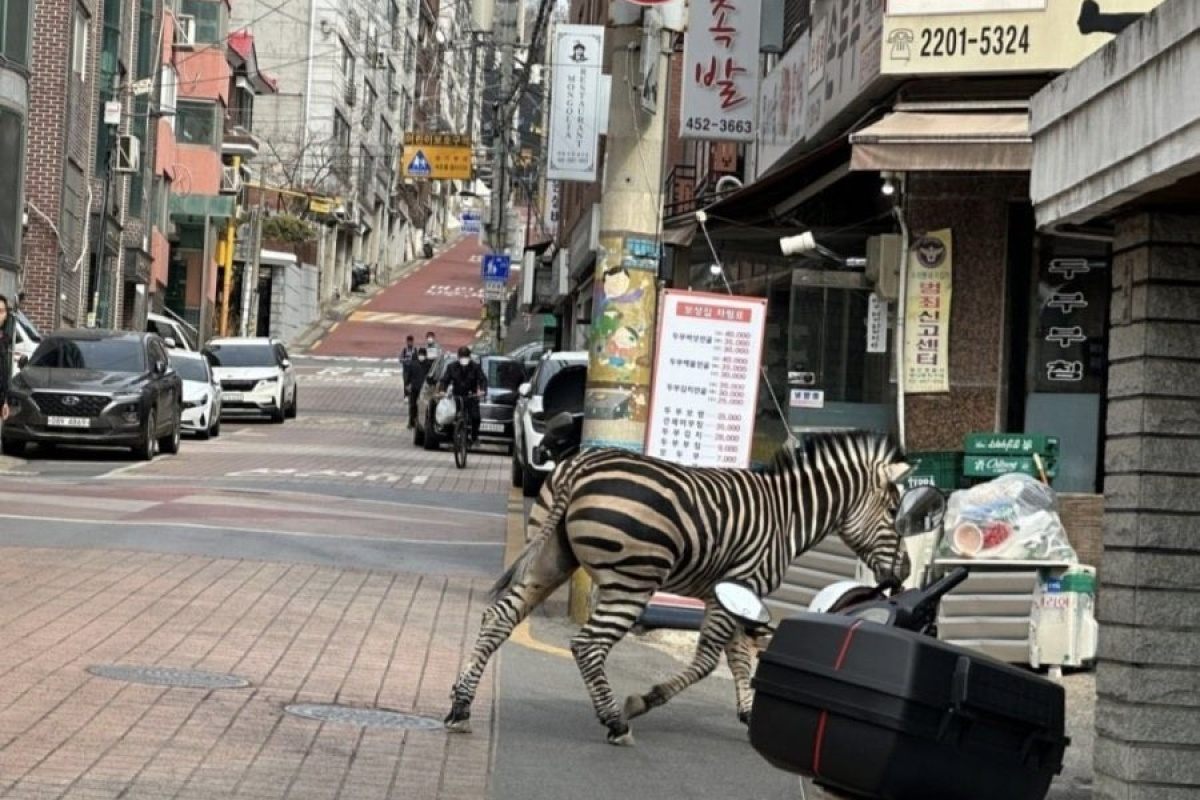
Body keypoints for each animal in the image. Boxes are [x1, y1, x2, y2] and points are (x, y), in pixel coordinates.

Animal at [445, 430, 912, 745]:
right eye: (895, 511)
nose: (904, 573)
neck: (787, 515)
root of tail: (580, 465)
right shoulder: (736, 590)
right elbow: (708, 662)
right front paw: (643, 700)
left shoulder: (734, 593)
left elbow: (738, 660)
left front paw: (748, 714)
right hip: (633, 581)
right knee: (588, 644)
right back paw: (616, 722)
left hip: (551, 558)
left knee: (498, 617)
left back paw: (460, 706)